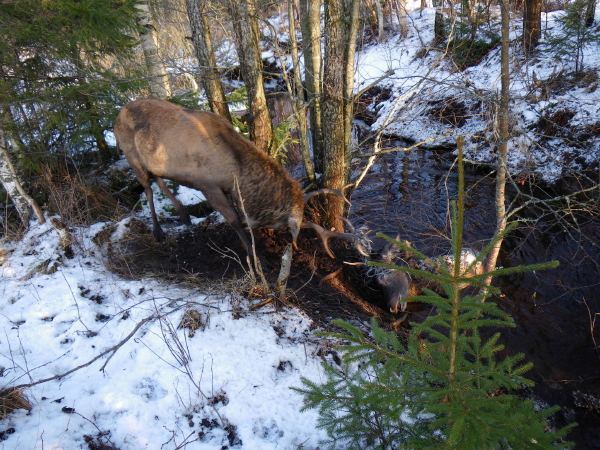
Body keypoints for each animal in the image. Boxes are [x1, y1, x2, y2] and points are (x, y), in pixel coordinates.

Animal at [115, 99, 358, 260]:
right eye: (281, 224)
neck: (234, 174)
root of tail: (118, 114)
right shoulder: (208, 185)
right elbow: (233, 220)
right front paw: (252, 253)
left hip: (150, 160)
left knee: (158, 178)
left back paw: (184, 214)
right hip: (130, 154)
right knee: (147, 187)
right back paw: (158, 231)